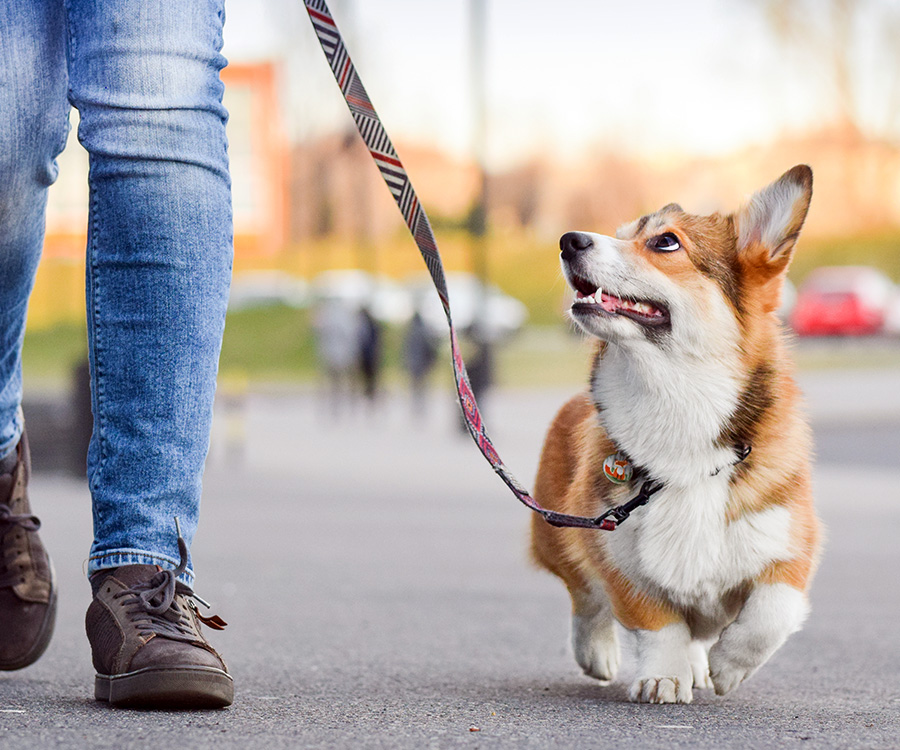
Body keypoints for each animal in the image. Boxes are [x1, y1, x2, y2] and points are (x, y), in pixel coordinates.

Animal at [536, 166, 824, 704]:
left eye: (665, 241)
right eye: (620, 232)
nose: (568, 240)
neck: (677, 402)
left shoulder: (791, 543)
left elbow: (770, 612)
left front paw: (728, 666)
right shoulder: (613, 548)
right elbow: (656, 621)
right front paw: (663, 676)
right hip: (556, 530)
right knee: (585, 597)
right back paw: (597, 652)